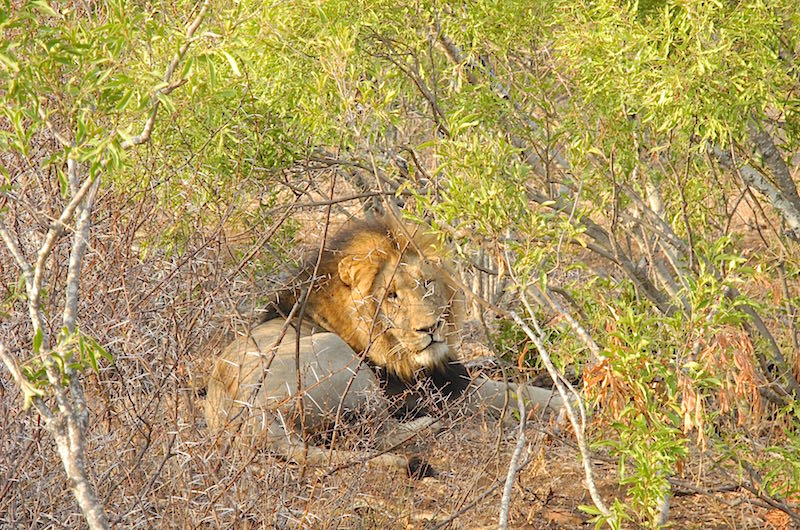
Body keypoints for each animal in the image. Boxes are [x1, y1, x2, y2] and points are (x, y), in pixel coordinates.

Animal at [206, 217, 568, 472]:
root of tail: (249, 416)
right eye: (391, 296)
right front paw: (571, 404)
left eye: (428, 284)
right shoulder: (443, 391)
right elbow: (521, 393)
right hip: (343, 364)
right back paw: (429, 424)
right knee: (378, 434)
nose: (430, 328)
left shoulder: (452, 372)